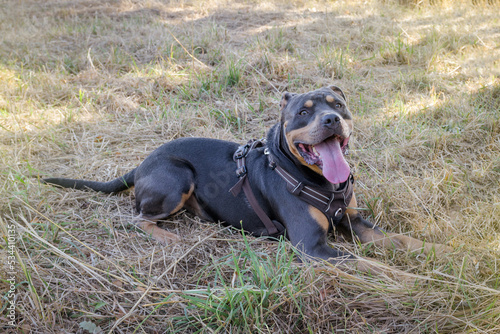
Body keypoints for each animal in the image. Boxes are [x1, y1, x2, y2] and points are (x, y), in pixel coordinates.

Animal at [42, 86, 450, 264]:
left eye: (339, 105)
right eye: (303, 112)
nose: (332, 119)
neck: (318, 180)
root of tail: (142, 162)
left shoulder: (354, 220)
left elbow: (398, 240)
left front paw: (441, 251)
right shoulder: (313, 247)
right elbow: (371, 265)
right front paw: (412, 280)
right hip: (176, 179)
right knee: (138, 218)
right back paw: (167, 237)